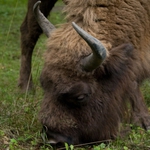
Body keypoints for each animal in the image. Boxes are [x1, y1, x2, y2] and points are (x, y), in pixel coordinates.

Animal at [19, 0, 150, 146]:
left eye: (80, 97)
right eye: (44, 86)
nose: (54, 139)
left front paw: (143, 121)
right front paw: (142, 121)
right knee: (28, 33)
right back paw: (25, 89)